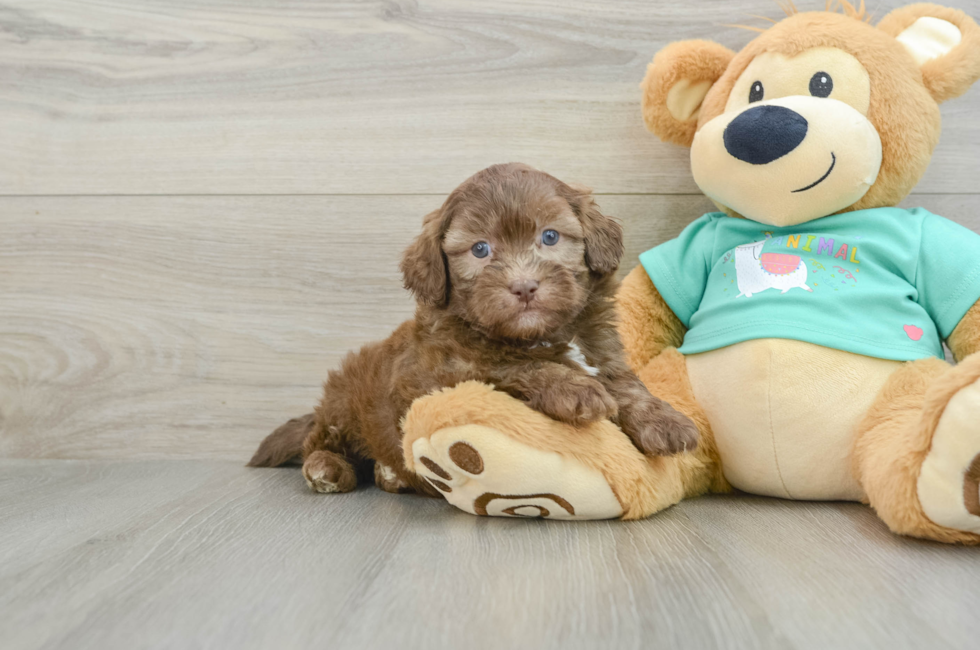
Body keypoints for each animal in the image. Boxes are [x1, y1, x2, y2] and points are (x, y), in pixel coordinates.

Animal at [251, 162, 696, 492]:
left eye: (550, 236)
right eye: (480, 249)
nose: (524, 286)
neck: (536, 336)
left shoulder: (603, 352)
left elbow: (627, 386)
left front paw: (664, 420)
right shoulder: (434, 375)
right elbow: (508, 365)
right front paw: (574, 388)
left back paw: (389, 473)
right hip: (344, 401)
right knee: (321, 439)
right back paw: (327, 467)